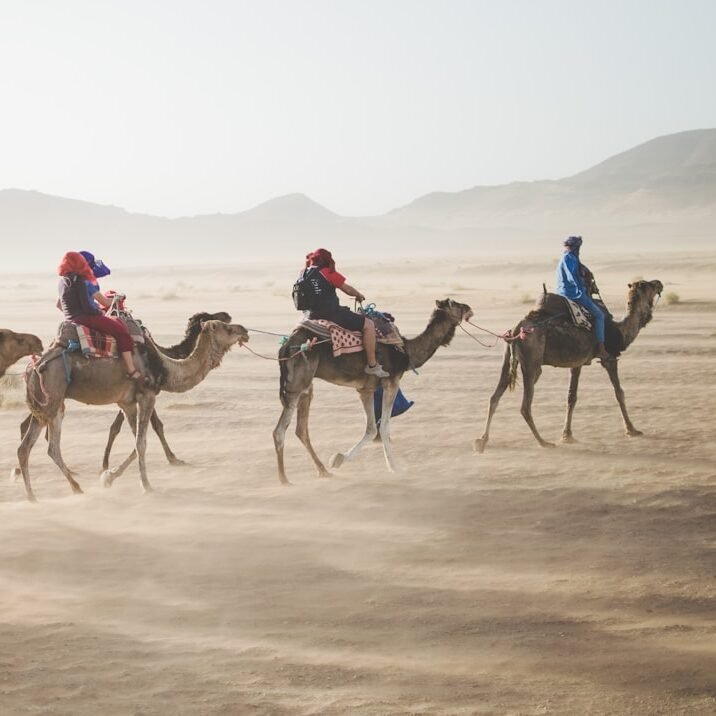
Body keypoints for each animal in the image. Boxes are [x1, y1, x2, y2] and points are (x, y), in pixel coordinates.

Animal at [16, 322, 248, 500]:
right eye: (226, 327)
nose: (244, 330)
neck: (165, 366)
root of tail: (32, 368)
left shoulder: (127, 403)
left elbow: (136, 442)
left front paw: (109, 476)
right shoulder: (147, 396)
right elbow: (141, 443)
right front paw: (146, 486)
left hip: (46, 406)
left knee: (30, 448)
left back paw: (47, 493)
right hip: (53, 399)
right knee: (49, 446)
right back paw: (52, 492)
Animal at [272, 294, 472, 484]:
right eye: (455, 304)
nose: (470, 308)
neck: (406, 351)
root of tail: (285, 346)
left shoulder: (365, 390)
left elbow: (371, 429)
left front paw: (338, 459)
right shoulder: (391, 381)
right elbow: (383, 427)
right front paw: (395, 467)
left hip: (307, 387)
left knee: (301, 429)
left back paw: (323, 471)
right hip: (297, 384)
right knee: (280, 431)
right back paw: (284, 479)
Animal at [472, 276, 664, 450]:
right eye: (647, 285)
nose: (659, 282)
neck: (620, 331)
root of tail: (517, 329)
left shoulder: (576, 363)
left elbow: (571, 397)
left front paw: (567, 435)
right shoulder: (608, 358)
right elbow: (619, 393)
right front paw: (632, 430)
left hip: (508, 358)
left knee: (494, 397)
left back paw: (481, 441)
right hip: (532, 362)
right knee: (525, 406)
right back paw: (543, 442)